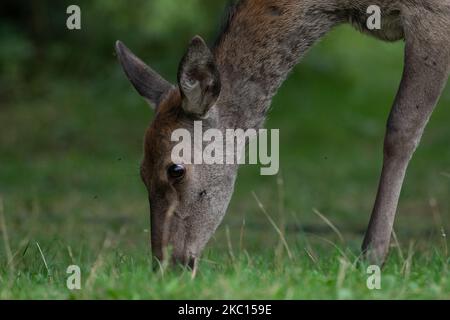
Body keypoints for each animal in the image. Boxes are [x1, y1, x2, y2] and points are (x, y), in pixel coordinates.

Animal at [117, 0, 450, 268]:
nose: (165, 264)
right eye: (141, 172)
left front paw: (371, 256)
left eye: (175, 169)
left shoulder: (433, 15)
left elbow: (401, 129)